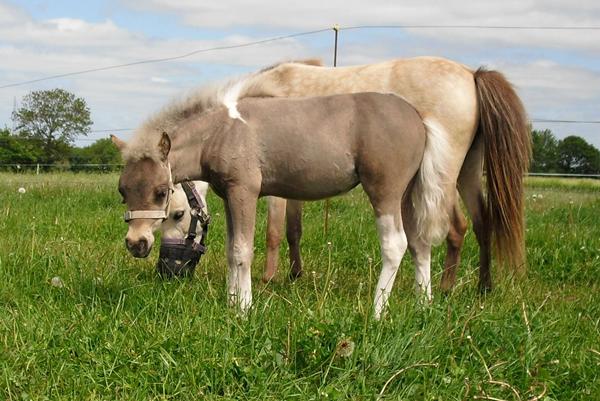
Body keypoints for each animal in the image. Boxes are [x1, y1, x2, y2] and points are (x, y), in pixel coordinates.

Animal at [229, 56, 528, 290]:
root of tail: (471, 74)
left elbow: (274, 231)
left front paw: (268, 279)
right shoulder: (295, 185)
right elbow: (294, 230)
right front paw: (294, 274)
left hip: (442, 178)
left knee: (455, 227)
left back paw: (446, 289)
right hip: (467, 172)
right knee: (482, 223)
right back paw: (483, 288)